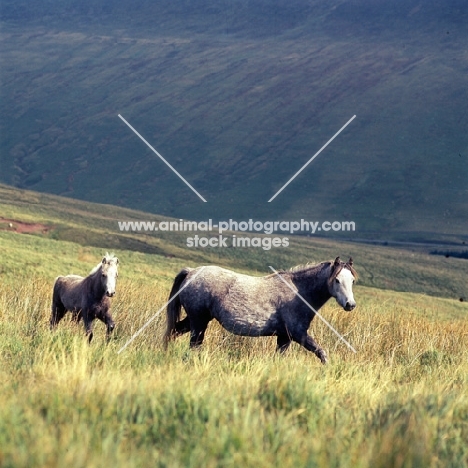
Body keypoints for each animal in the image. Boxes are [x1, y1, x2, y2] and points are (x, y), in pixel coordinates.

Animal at [166, 258, 356, 364]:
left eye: (352, 280)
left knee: (174, 332)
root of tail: (191, 272)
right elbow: (322, 353)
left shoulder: (284, 337)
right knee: (193, 345)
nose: (350, 304)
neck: (299, 292)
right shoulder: (297, 334)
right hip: (199, 322)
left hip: (194, 321)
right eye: (337, 280)